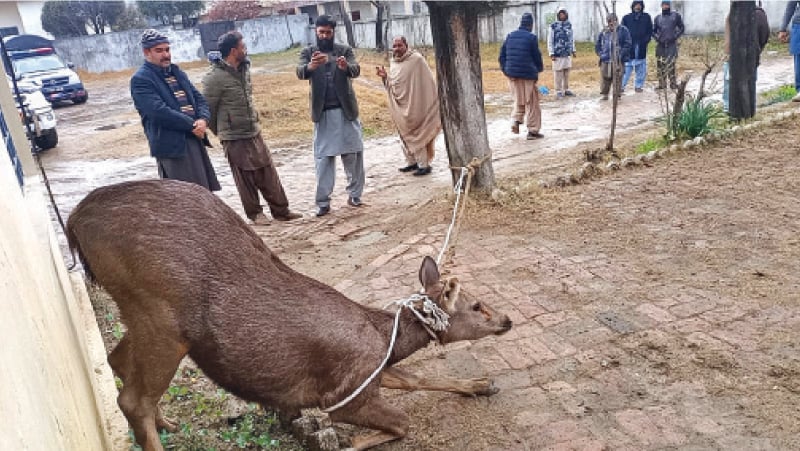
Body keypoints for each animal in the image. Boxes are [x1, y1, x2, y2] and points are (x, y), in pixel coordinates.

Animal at [65, 181, 510, 451]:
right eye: (476, 305)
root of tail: (73, 221)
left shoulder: (371, 372)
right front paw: (350, 443)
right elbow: (402, 423)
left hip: (141, 316)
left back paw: (168, 423)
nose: (506, 320)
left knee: (118, 362)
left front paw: (479, 384)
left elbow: (416, 379)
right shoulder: (344, 392)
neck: (386, 338)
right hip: (162, 319)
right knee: (132, 398)